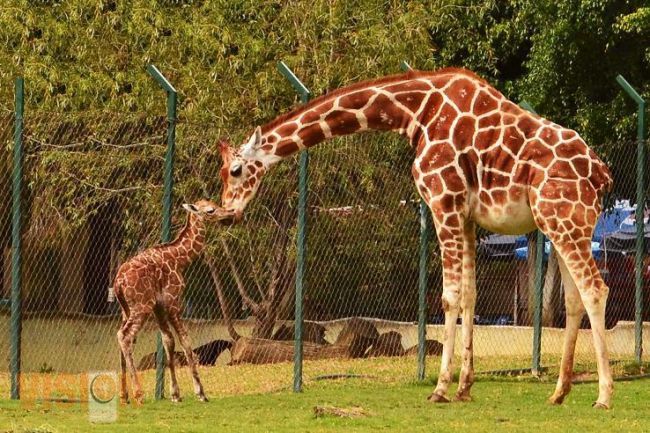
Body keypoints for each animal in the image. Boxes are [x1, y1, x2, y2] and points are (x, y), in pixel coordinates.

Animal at [113, 199, 235, 404]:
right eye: (211, 210)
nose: (230, 212)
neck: (180, 260)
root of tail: (118, 284)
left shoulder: (159, 306)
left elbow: (168, 341)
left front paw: (175, 394)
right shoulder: (172, 301)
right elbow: (185, 340)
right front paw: (200, 393)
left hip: (126, 309)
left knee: (122, 336)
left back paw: (124, 396)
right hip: (140, 307)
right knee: (125, 335)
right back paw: (138, 394)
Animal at [218, 68, 614, 408]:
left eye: (235, 170)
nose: (226, 212)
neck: (414, 112)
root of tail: (602, 174)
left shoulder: (443, 202)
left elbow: (450, 298)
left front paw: (440, 389)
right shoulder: (467, 217)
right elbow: (470, 296)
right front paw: (464, 387)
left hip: (564, 220)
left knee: (596, 289)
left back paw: (603, 396)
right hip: (558, 225)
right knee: (574, 298)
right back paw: (559, 392)